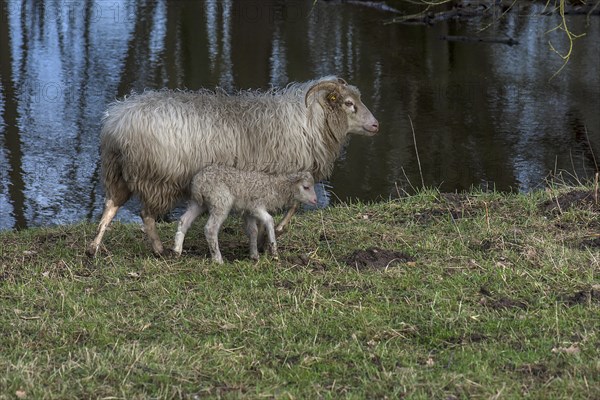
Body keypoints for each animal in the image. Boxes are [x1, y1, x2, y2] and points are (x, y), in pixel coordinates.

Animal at [171, 164, 316, 264]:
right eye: (306, 187)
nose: (315, 200)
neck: (275, 188)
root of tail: (198, 183)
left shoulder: (248, 212)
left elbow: (253, 231)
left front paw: (254, 255)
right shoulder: (255, 205)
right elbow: (269, 220)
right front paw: (274, 251)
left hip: (199, 203)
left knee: (184, 220)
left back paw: (177, 250)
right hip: (221, 201)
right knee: (210, 229)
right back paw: (218, 259)